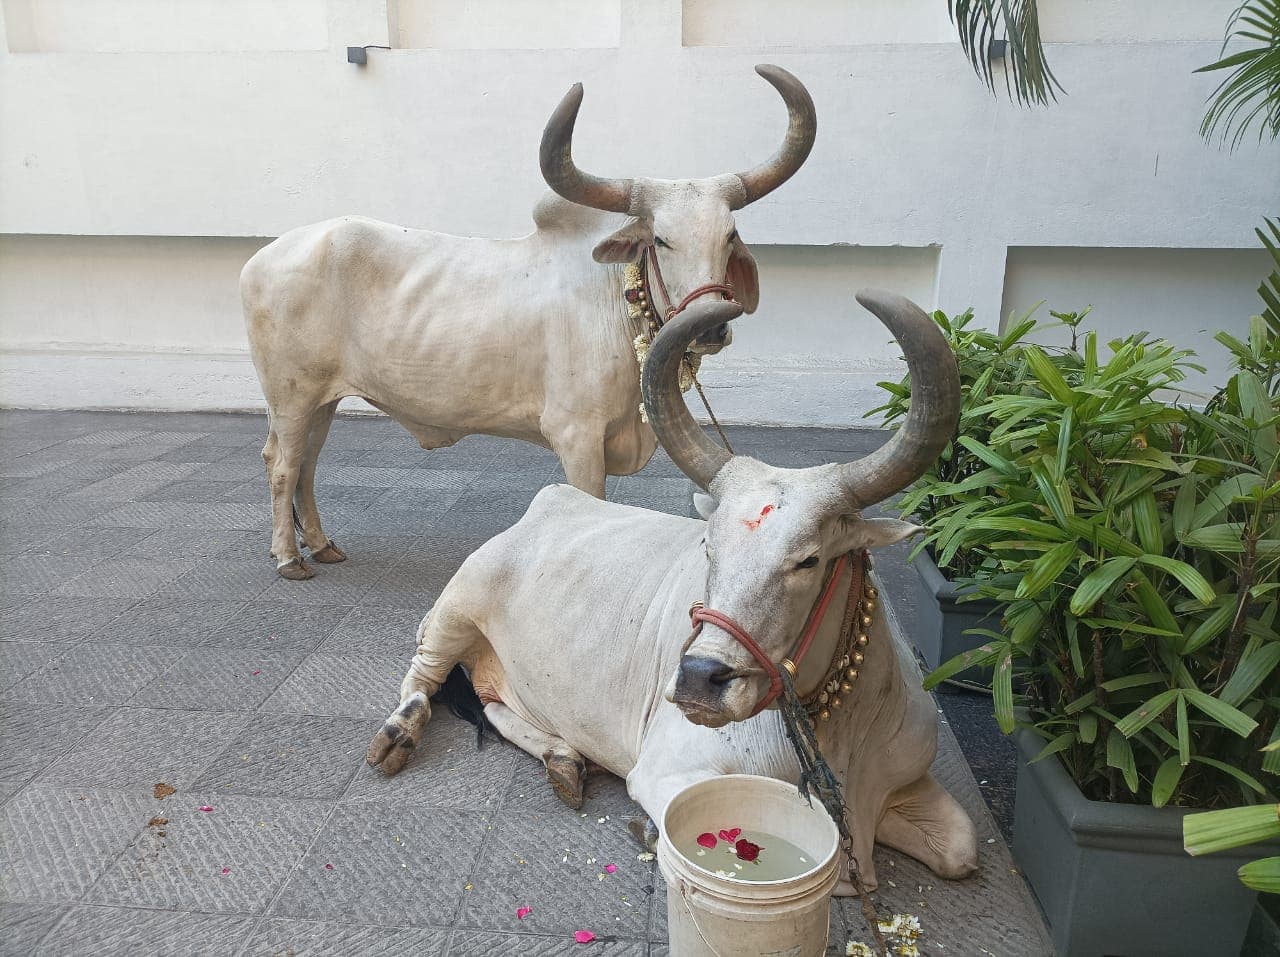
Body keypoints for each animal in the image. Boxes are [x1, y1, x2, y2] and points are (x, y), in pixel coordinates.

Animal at [240, 65, 816, 580]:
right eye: (661, 239)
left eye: (729, 234)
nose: (710, 327)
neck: (611, 302)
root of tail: (264, 257)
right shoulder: (576, 436)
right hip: (290, 397)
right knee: (282, 463)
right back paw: (289, 558)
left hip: (322, 399)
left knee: (308, 464)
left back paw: (321, 545)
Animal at [366, 291, 980, 893]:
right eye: (708, 545)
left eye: (809, 559)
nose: (698, 680)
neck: (841, 730)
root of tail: (550, 502)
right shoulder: (669, 773)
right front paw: (650, 833)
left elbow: (960, 850)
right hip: (455, 609)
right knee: (423, 676)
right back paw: (399, 733)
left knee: (496, 707)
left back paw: (565, 761)